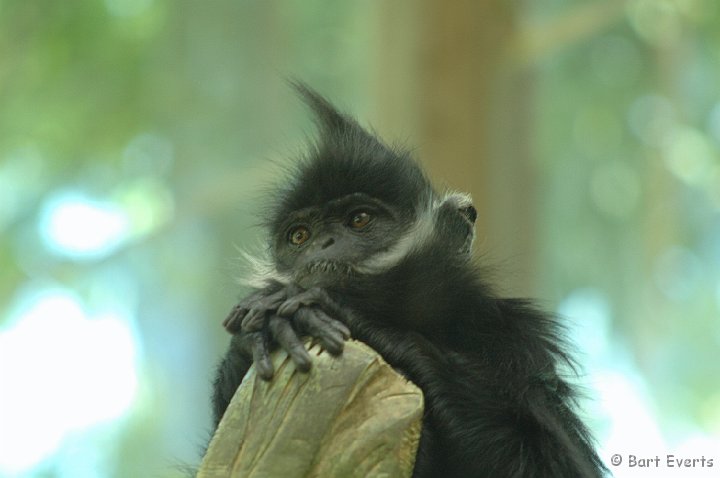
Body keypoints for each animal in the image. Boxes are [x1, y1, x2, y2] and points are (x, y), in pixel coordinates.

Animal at [211, 85, 604, 478]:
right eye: (299, 236)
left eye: (359, 219)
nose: (322, 244)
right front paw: (254, 334)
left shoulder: (517, 340)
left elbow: (556, 465)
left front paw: (343, 314)